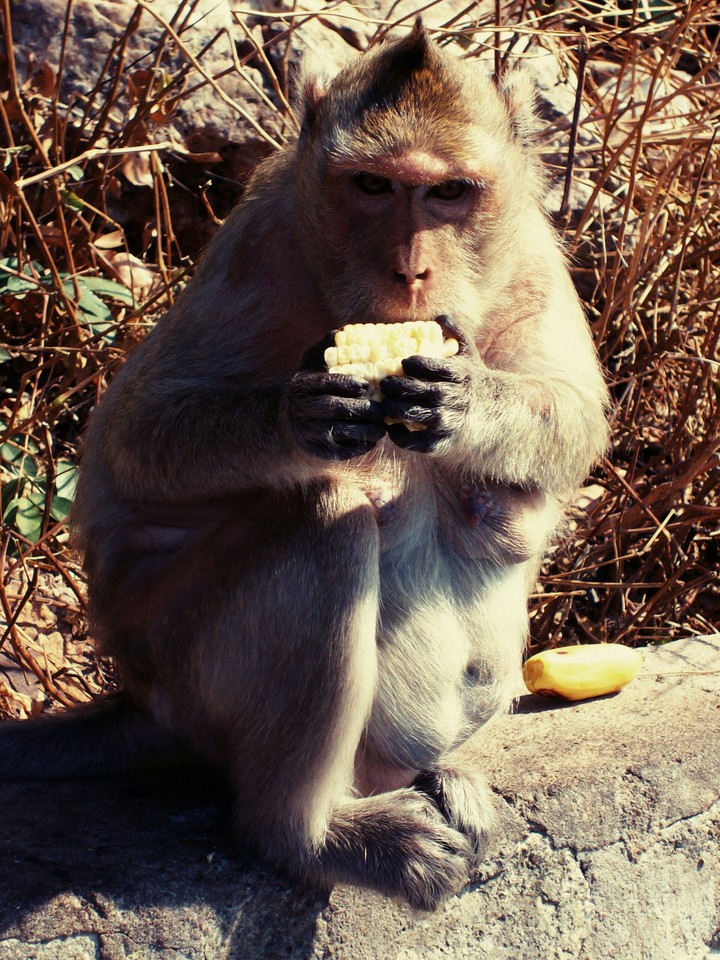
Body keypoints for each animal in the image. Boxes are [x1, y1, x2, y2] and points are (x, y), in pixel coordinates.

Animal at [0, 22, 609, 909]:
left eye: (449, 193)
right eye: (372, 186)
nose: (410, 268)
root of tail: (143, 696)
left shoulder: (528, 245)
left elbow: (578, 416)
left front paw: (469, 406)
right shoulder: (258, 244)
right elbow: (131, 441)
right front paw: (303, 414)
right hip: (178, 653)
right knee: (325, 520)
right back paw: (307, 833)